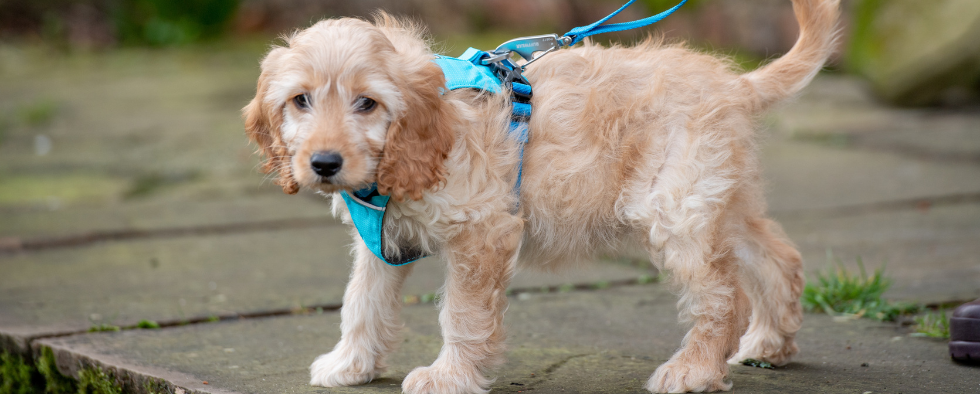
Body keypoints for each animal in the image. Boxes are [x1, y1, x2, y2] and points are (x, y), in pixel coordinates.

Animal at [243, 1, 844, 392]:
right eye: (300, 100)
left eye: (366, 103)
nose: (324, 164)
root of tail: (734, 85)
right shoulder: (382, 239)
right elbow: (361, 303)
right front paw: (350, 365)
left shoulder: (483, 233)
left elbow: (462, 314)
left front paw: (449, 376)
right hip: (716, 201)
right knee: (777, 257)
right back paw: (769, 344)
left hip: (676, 211)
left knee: (722, 295)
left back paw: (694, 371)